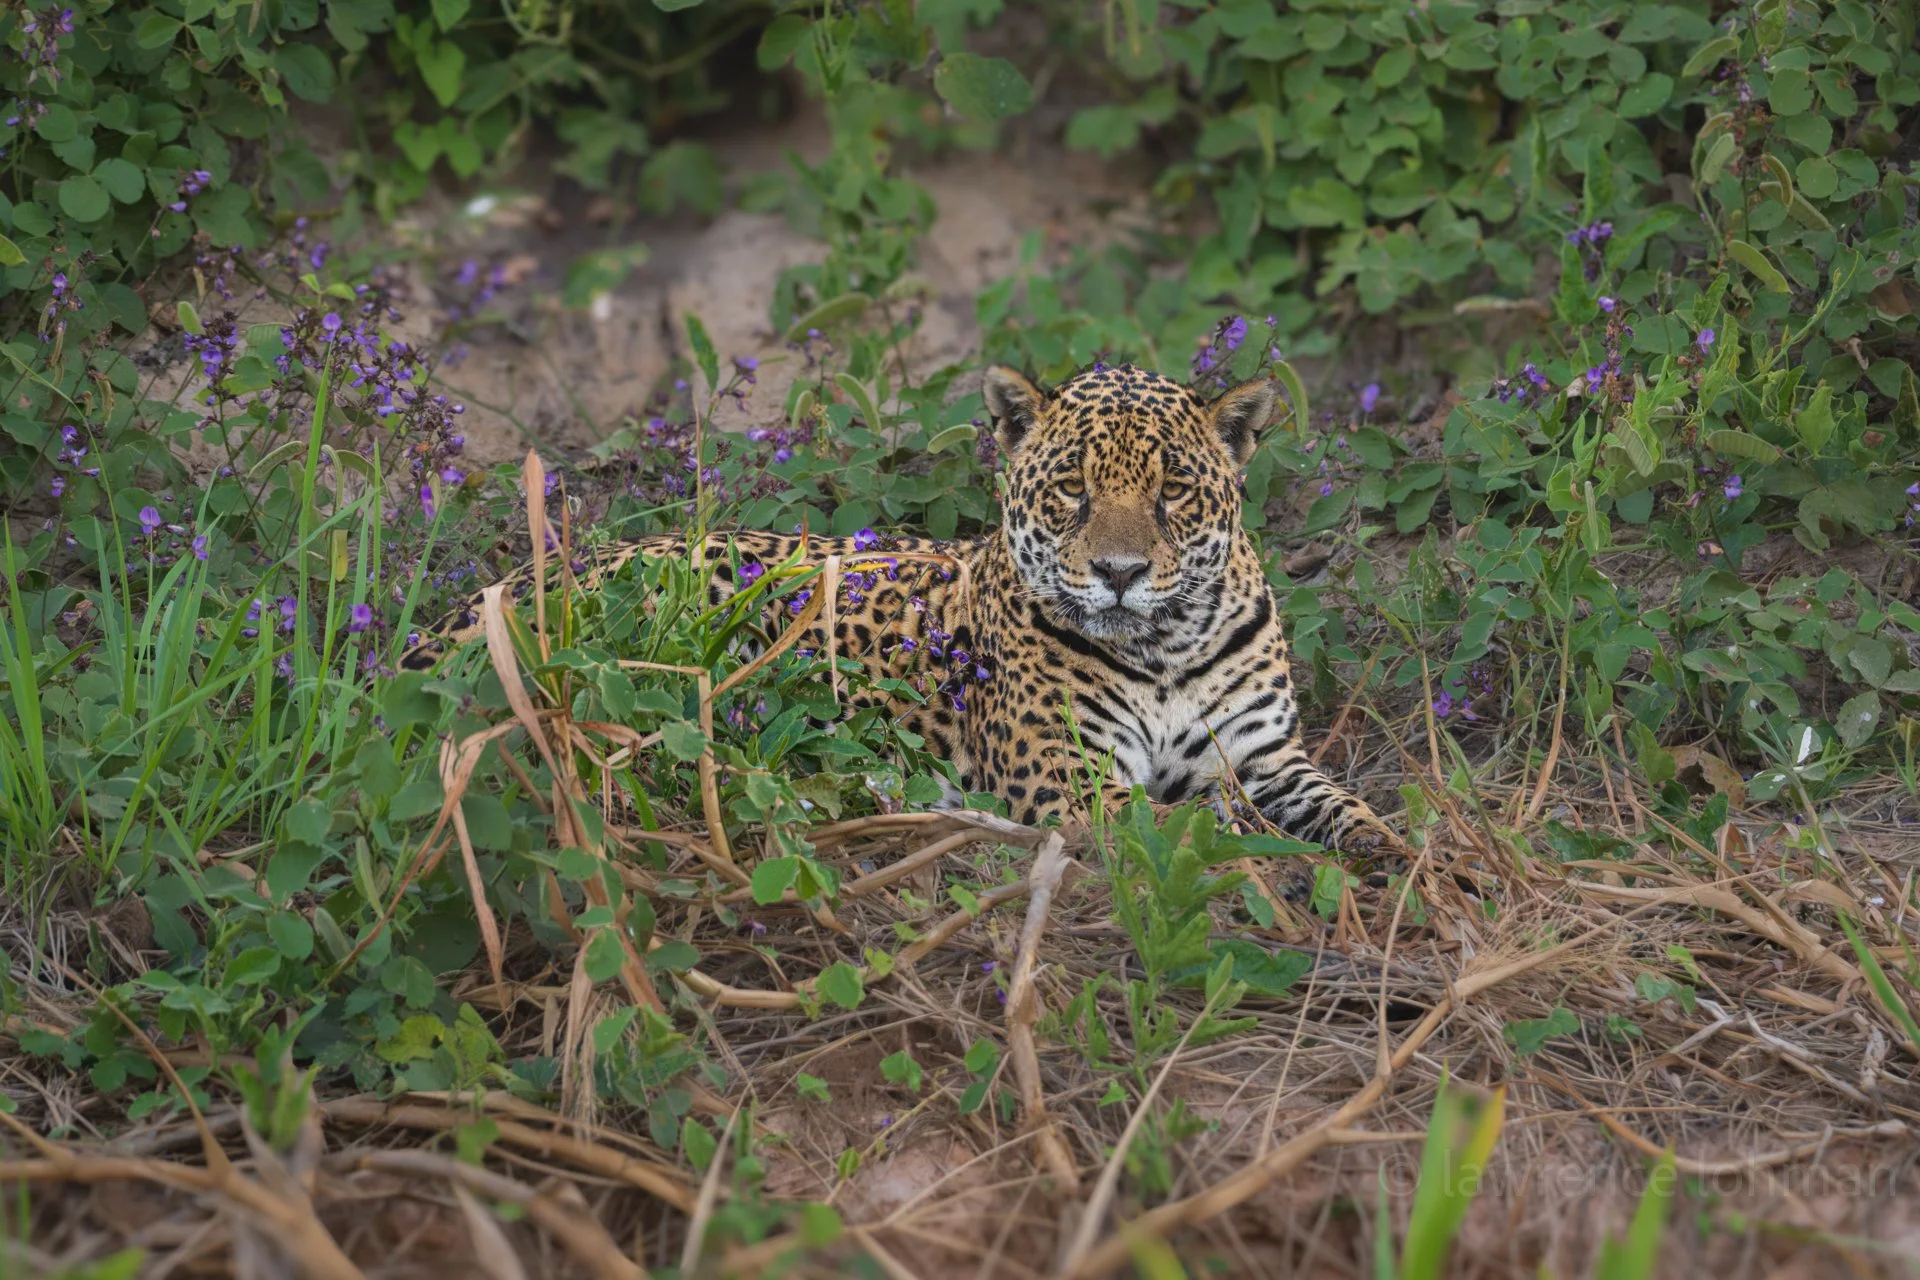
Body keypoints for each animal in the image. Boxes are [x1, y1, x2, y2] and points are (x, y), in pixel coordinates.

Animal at [403, 362, 1399, 852]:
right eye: (1072, 489)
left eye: (1174, 493)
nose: (1119, 572)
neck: (1165, 646)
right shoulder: (1064, 776)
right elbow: (1191, 822)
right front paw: (1257, 847)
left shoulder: (1265, 756)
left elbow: (1347, 809)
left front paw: (1403, 856)